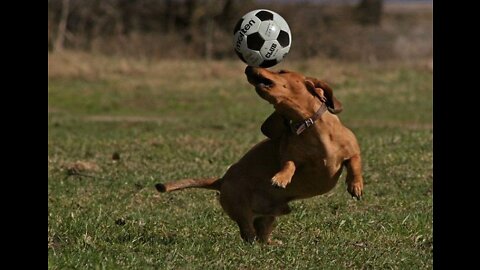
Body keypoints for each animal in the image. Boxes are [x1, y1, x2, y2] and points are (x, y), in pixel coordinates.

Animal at [157, 66, 364, 244]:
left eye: (282, 71)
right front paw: (281, 178)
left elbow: (354, 163)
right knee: (248, 233)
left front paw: (356, 186)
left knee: (261, 234)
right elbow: (289, 163)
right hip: (241, 210)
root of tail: (222, 180)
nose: (248, 67)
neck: (309, 126)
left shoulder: (352, 151)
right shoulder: (292, 156)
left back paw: (272, 243)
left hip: (268, 217)